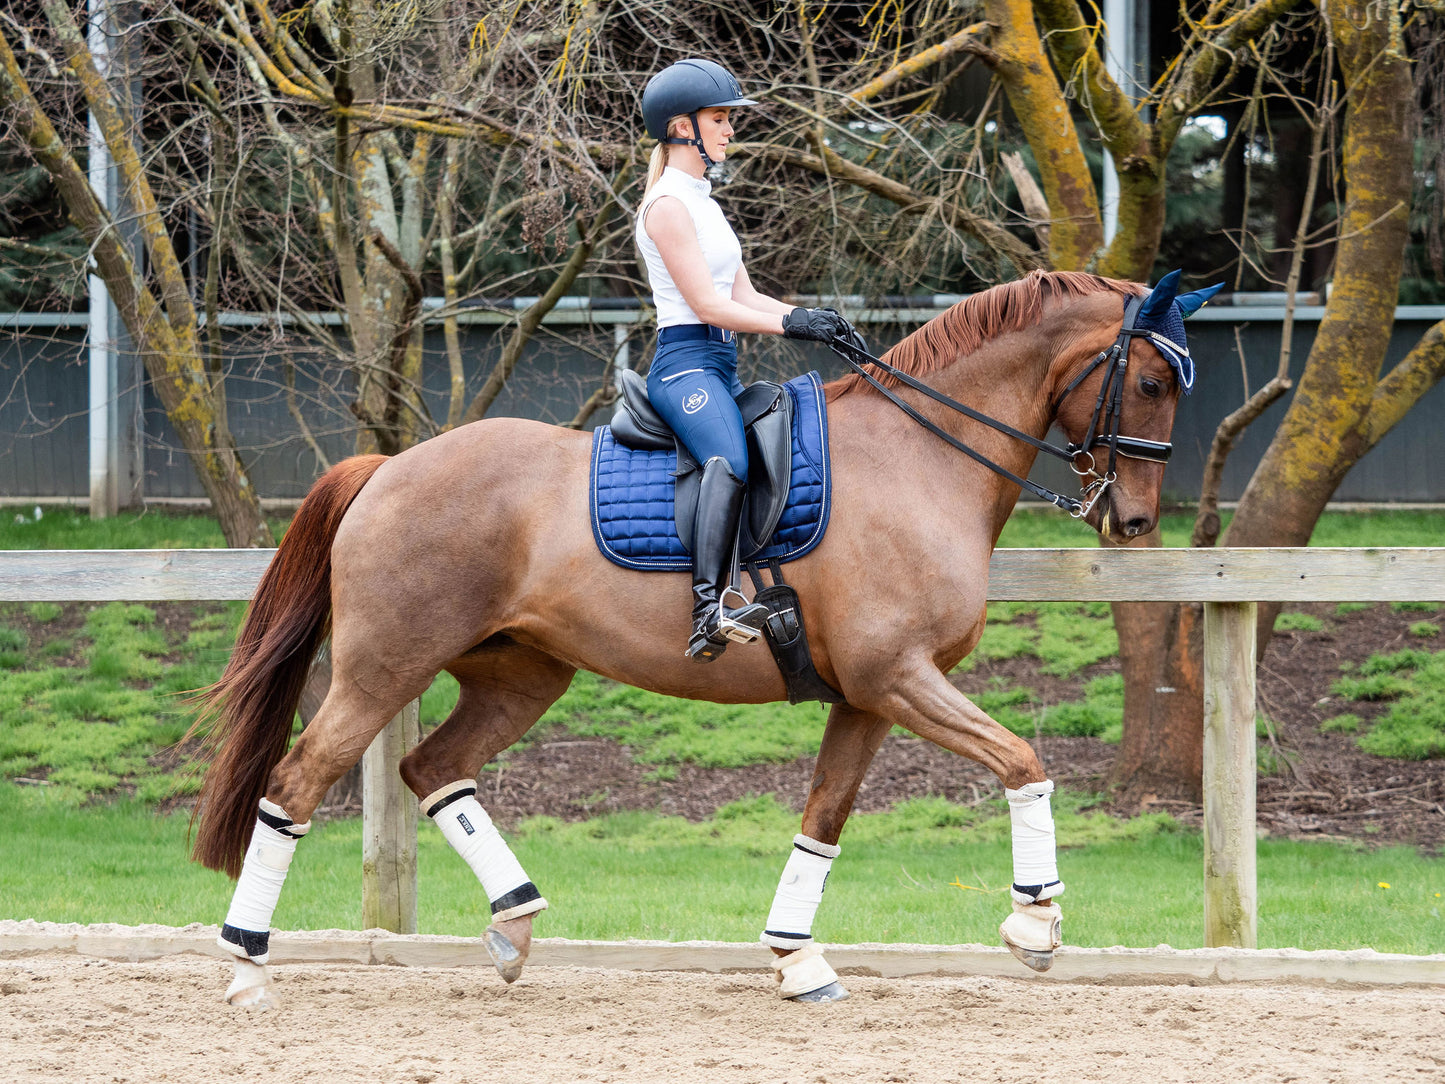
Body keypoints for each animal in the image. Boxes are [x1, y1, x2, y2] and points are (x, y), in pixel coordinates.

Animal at [192, 271, 1190, 1011]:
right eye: (1148, 381)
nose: (1136, 520)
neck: (921, 456)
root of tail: (388, 465)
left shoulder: (869, 696)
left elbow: (823, 820)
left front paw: (796, 959)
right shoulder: (897, 677)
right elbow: (1022, 760)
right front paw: (1035, 924)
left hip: (521, 676)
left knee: (433, 766)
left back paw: (513, 922)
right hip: (382, 668)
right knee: (296, 783)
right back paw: (245, 966)